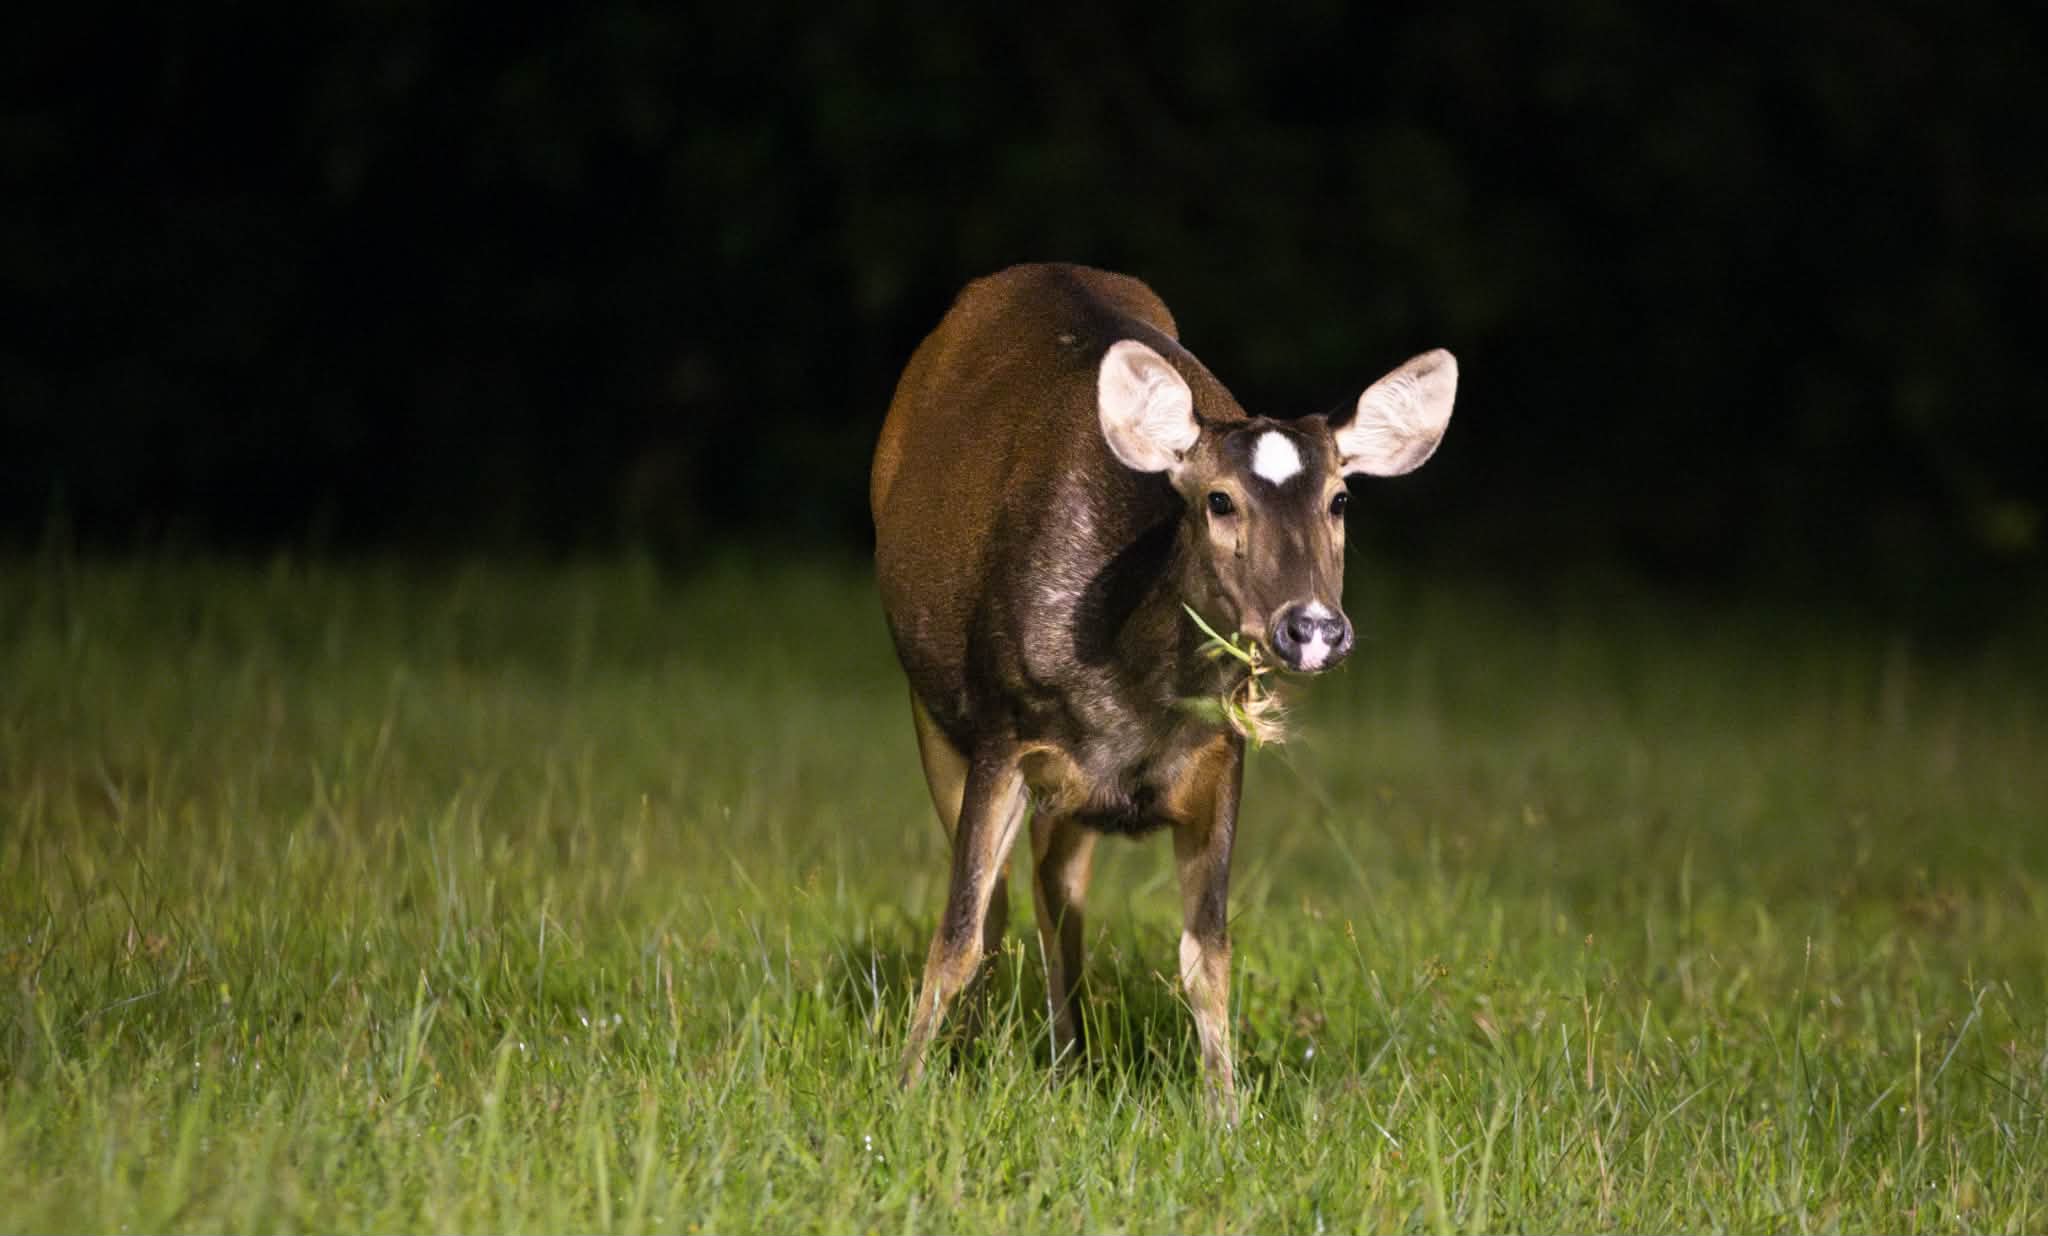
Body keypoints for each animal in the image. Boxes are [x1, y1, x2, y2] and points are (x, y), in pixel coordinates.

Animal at [869, 263, 1457, 1117]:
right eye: (1218, 499)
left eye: (1340, 500)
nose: (1313, 627)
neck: (1129, 693)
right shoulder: (1001, 731)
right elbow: (957, 934)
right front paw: (907, 1092)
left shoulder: (1220, 757)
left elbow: (1207, 952)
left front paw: (1225, 1114)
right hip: (932, 706)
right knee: (1005, 898)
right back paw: (978, 1049)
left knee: (1056, 887)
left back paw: (1070, 1059)